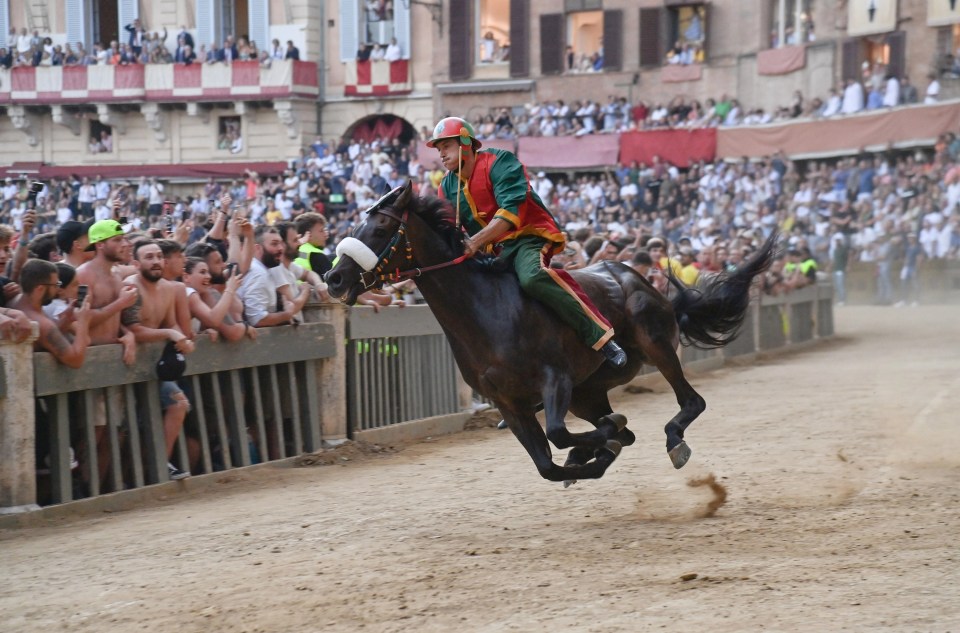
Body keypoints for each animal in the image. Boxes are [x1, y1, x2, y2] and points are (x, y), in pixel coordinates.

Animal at [326, 180, 776, 482]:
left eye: (379, 229)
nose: (333, 278)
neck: (484, 310)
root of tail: (638, 278)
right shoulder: (509, 403)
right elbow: (548, 464)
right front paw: (597, 451)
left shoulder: (554, 378)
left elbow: (560, 435)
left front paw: (604, 438)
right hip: (587, 391)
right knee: (619, 425)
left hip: (653, 345)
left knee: (691, 401)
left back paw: (672, 439)